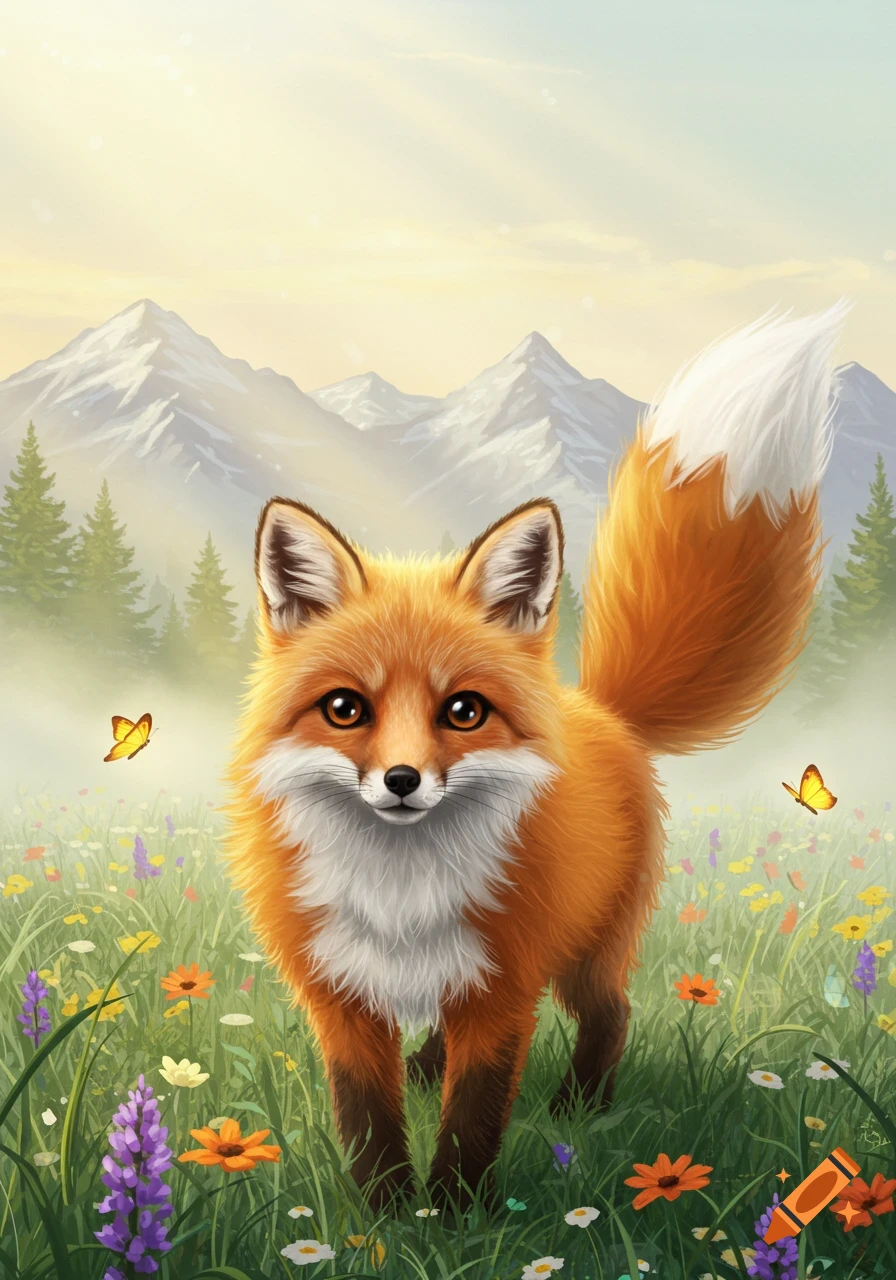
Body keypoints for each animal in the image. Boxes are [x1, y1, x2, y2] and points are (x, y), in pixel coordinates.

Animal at [224, 303, 845, 1214]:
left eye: (464, 711)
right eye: (345, 709)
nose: (402, 781)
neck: (401, 893)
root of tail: (601, 707)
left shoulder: (504, 990)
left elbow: (475, 1116)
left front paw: (452, 1216)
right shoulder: (341, 992)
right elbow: (367, 1116)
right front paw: (383, 1216)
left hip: (587, 951)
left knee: (613, 1014)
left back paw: (579, 1106)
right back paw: (429, 1073)